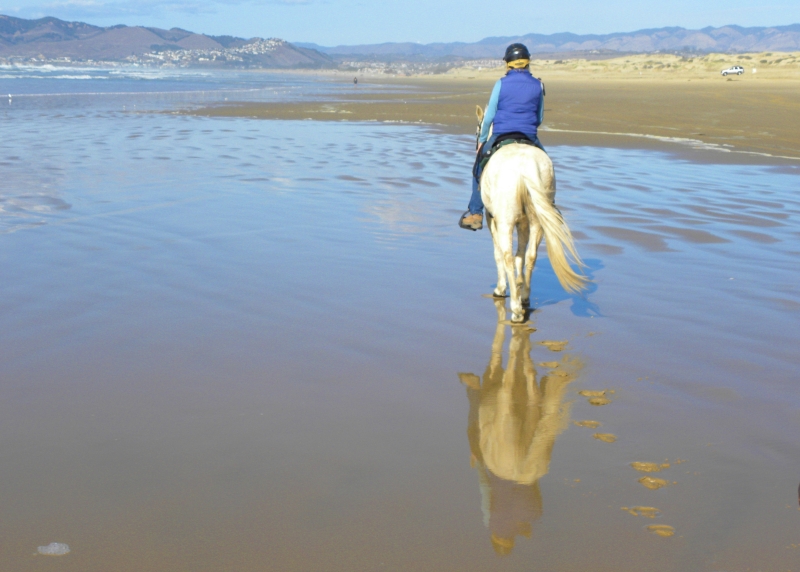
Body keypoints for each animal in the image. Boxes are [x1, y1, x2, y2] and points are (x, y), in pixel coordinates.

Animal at [476, 106, 588, 323]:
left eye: (479, 127)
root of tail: (525, 167)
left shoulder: (492, 219)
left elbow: (499, 254)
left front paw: (502, 288)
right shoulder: (524, 223)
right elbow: (521, 254)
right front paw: (519, 285)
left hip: (505, 221)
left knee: (507, 256)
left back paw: (515, 310)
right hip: (537, 221)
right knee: (531, 256)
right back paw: (525, 298)